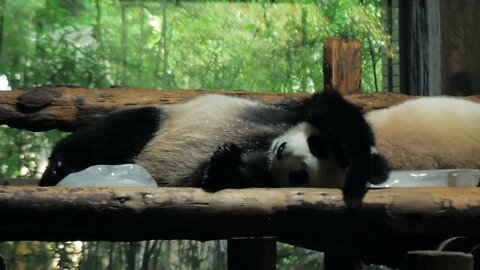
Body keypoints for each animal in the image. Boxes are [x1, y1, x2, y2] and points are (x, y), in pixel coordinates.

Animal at [39, 90, 392, 207]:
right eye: (315, 145)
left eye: (300, 176)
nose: (282, 152)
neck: (263, 148)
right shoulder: (289, 114)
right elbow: (331, 108)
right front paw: (361, 169)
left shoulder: (263, 176)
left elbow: (215, 176)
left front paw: (225, 162)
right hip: (161, 120)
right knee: (123, 129)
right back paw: (58, 166)